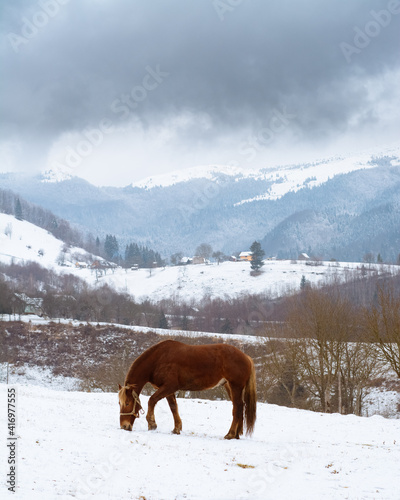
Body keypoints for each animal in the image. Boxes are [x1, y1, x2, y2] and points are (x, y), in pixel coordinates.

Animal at [117, 338, 258, 440]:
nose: (124, 426)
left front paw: (152, 424)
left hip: (235, 386)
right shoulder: (168, 390)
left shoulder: (169, 386)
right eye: (119, 403)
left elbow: (152, 400)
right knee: (240, 406)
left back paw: (230, 434)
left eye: (127, 403)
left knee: (237, 407)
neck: (158, 359)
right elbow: (173, 407)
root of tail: (246, 357)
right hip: (230, 386)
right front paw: (176, 428)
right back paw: (237, 434)